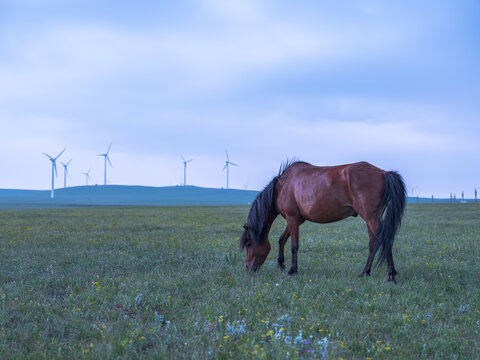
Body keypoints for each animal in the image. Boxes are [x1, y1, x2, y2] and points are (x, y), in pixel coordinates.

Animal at [240, 162, 404, 282]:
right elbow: (282, 240)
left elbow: (294, 246)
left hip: (371, 218)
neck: (282, 186)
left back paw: (391, 275)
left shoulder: (292, 219)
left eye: (249, 244)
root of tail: (383, 173)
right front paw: (281, 265)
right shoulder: (296, 220)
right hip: (371, 219)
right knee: (373, 244)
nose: (248, 268)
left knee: (384, 241)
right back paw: (365, 272)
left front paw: (292, 270)